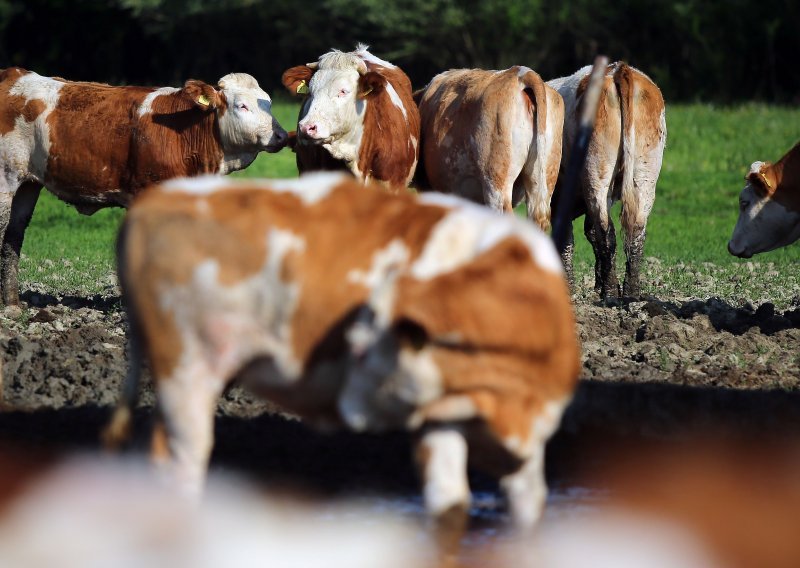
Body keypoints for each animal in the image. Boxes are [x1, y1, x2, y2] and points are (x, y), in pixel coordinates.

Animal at [0, 67, 288, 306]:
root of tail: (14, 73)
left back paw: (12, 304)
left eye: (269, 103)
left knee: (14, 234)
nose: (281, 135)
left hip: (28, 184)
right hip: (6, 178)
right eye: (242, 106)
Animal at [104, 171, 580, 532]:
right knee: (184, 463)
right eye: (355, 341)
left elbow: (464, 507)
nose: (347, 408)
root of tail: (156, 199)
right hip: (185, 370)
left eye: (371, 347)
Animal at [548, 63, 664, 298]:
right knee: (636, 229)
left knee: (605, 228)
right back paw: (630, 292)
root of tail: (619, 69)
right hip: (645, 174)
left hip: (597, 170)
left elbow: (567, 239)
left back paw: (610, 292)